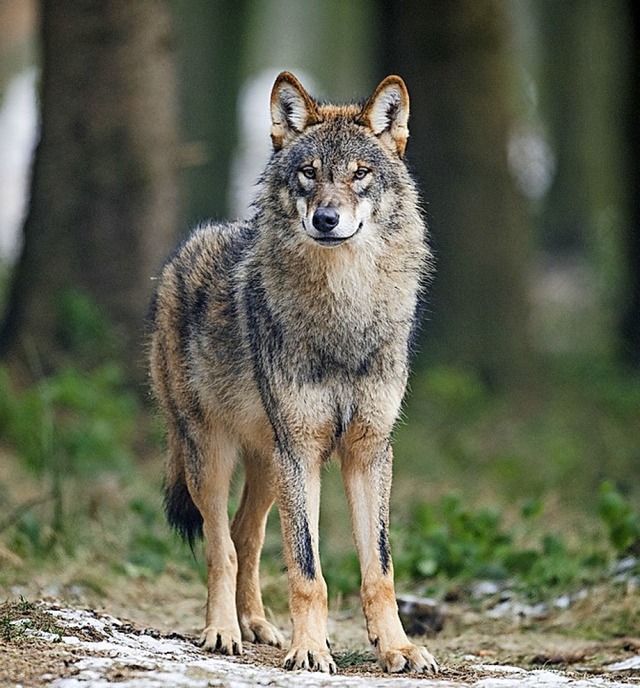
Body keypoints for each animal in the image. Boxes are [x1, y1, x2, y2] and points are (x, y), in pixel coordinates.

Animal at [149, 72, 438, 676]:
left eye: (359, 173)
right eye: (309, 172)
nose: (326, 219)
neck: (344, 312)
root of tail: (179, 255)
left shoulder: (369, 451)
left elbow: (379, 568)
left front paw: (397, 648)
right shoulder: (301, 451)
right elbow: (308, 570)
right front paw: (311, 649)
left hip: (267, 465)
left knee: (247, 536)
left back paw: (256, 625)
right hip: (214, 455)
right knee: (221, 544)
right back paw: (222, 631)